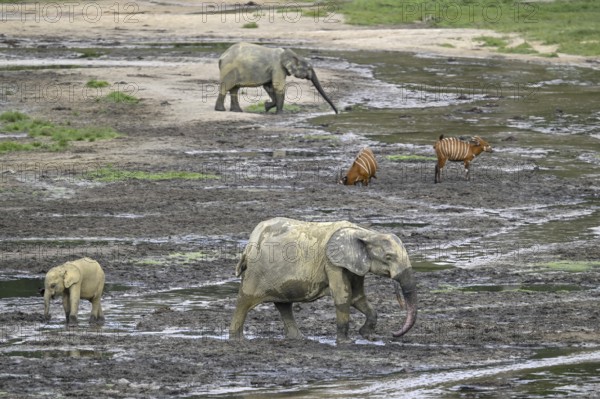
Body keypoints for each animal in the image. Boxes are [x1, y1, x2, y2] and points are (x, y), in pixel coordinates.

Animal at [230, 219, 418, 344]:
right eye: (388, 257)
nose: (393, 334)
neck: (365, 233)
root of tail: (250, 241)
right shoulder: (332, 263)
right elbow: (343, 296)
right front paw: (346, 342)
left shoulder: (354, 265)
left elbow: (357, 297)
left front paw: (368, 336)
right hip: (255, 272)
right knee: (244, 301)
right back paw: (237, 339)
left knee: (284, 305)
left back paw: (299, 338)